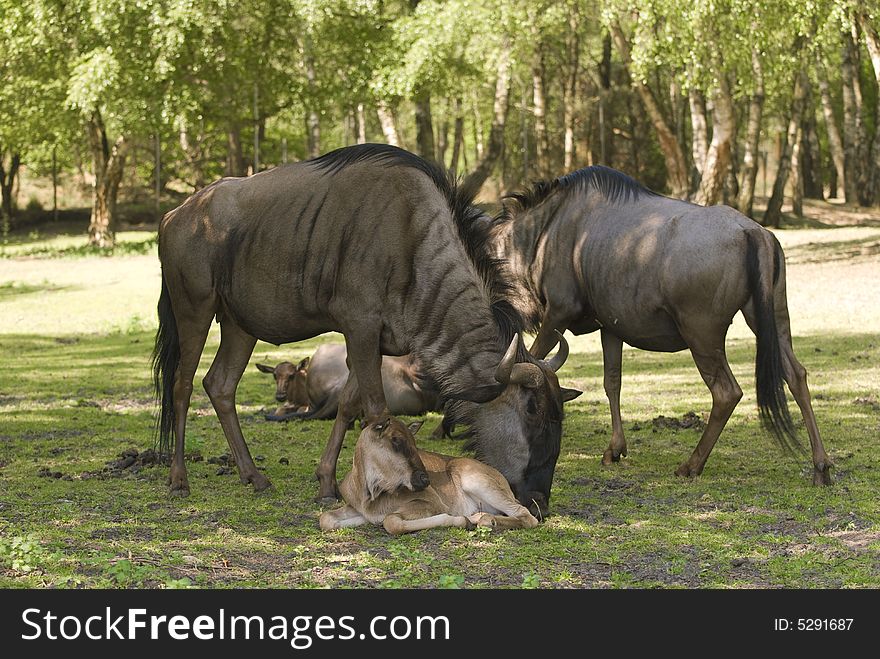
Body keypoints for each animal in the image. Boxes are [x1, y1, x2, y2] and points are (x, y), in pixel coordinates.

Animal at [320, 418, 540, 536]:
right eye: (396, 440)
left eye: (414, 443)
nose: (425, 480)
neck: (369, 493)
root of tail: (502, 479)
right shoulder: (358, 508)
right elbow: (325, 518)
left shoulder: (432, 504)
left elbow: (391, 521)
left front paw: (460, 520)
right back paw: (481, 517)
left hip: (479, 482)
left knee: (527, 515)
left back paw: (483, 520)